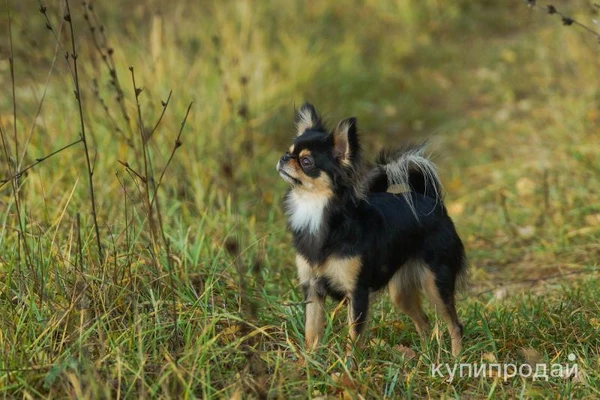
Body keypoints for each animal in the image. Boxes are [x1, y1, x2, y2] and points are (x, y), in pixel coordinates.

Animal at [276, 104, 468, 358]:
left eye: (306, 161)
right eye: (288, 151)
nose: (283, 158)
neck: (316, 210)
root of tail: (430, 202)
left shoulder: (356, 292)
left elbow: (353, 339)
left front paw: (348, 366)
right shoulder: (312, 290)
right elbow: (311, 333)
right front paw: (309, 362)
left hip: (435, 282)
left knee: (454, 324)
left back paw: (455, 360)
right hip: (400, 292)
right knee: (424, 322)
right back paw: (425, 358)